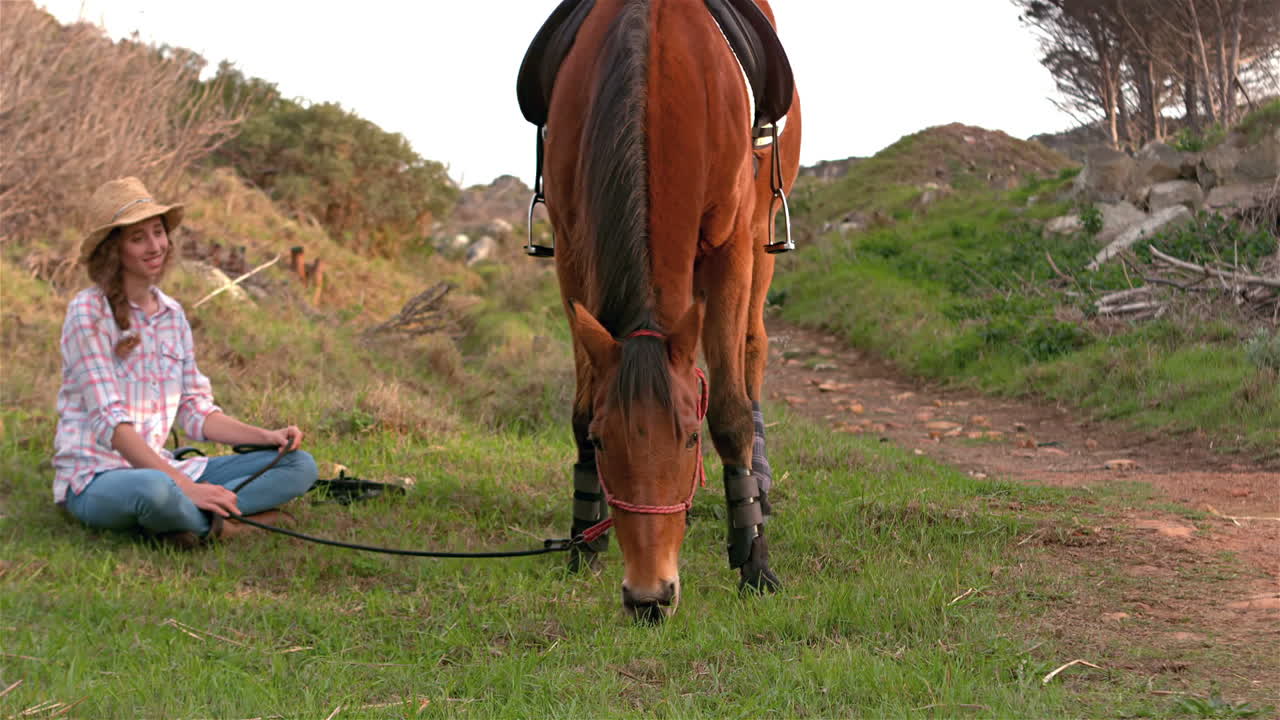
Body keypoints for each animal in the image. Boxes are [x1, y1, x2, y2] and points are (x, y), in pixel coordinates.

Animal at [518, 0, 801, 621]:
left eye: (690, 439)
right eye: (603, 442)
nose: (650, 597)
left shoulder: (731, 246)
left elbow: (729, 410)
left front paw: (754, 560)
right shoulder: (570, 248)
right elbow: (580, 405)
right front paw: (584, 539)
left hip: (761, 233)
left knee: (752, 348)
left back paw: (759, 492)